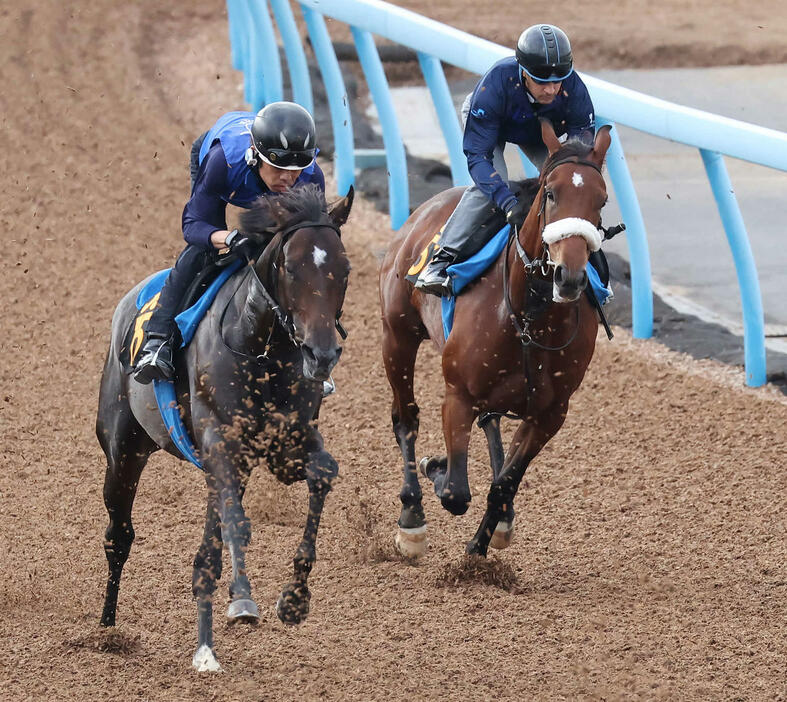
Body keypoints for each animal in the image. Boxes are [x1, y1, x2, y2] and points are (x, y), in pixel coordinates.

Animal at [97, 184, 354, 672]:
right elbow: (237, 522)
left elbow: (323, 474)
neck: (260, 349)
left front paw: (295, 598)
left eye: (344, 270)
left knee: (206, 553)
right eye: (290, 268)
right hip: (123, 449)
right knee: (119, 535)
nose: (322, 353)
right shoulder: (221, 442)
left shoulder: (286, 446)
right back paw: (106, 629)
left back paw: (204, 645)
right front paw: (244, 601)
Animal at [378, 121, 612, 560]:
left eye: (602, 200)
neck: (530, 319)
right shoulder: (458, 394)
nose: (569, 277)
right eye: (550, 193)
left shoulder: (550, 414)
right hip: (397, 335)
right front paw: (436, 468)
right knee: (406, 419)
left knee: (491, 422)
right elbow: (455, 492)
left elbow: (504, 482)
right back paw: (412, 518)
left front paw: (481, 545)